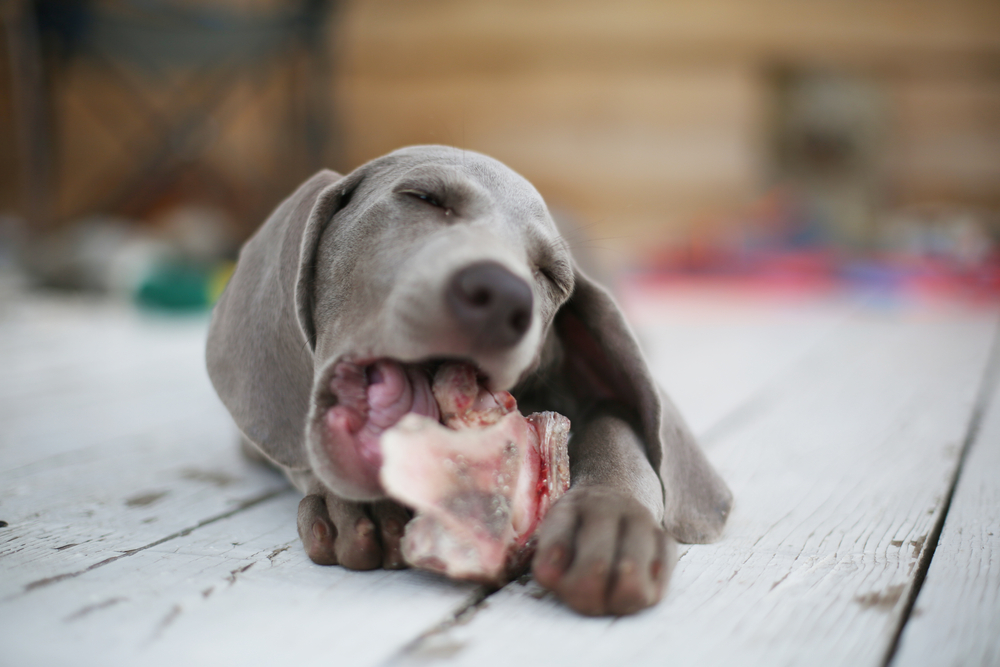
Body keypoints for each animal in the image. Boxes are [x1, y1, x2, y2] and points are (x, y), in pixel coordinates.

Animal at [205, 146, 736, 616]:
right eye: (423, 197)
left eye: (551, 276)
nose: (502, 296)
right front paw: (365, 509)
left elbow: (617, 425)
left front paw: (610, 522)